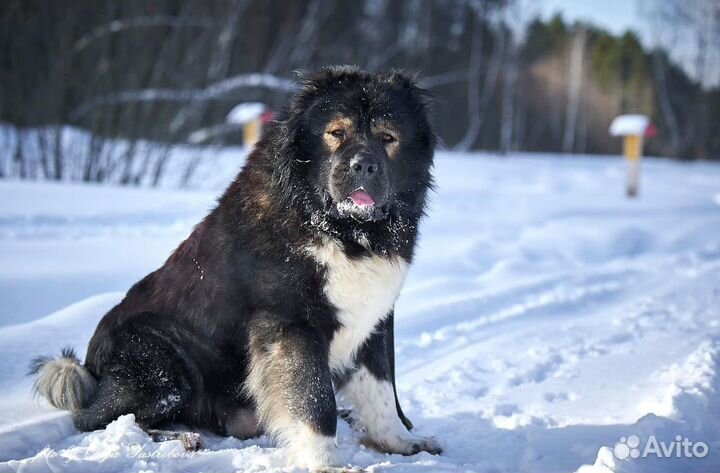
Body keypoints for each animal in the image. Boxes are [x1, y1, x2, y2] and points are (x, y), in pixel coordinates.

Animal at [29, 65, 438, 468]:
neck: (343, 231)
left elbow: (382, 389)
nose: (364, 165)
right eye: (337, 133)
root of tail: (91, 363)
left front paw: (400, 441)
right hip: (161, 362)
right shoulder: (292, 324)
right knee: (102, 419)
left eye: (388, 137)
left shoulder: (374, 320)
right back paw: (182, 438)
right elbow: (314, 398)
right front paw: (326, 462)